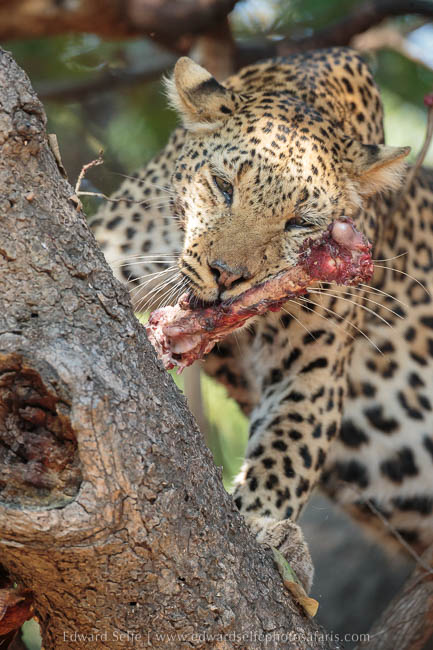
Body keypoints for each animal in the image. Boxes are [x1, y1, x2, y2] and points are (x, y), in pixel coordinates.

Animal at [89, 47, 433, 593]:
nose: (227, 274)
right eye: (223, 186)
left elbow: (287, 449)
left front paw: (264, 526)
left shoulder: (314, 368)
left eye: (300, 222)